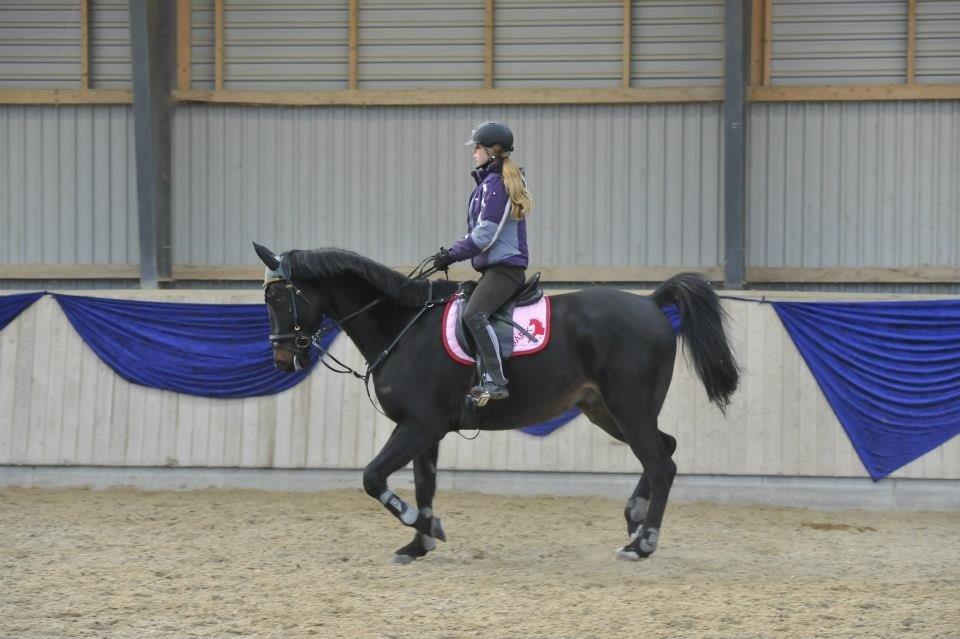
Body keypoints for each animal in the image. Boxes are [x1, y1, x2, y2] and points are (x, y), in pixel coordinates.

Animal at [253, 245, 736, 564]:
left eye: (276, 297)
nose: (282, 359)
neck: (405, 326)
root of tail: (651, 304)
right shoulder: (425, 430)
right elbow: (424, 485)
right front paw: (420, 540)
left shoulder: (418, 426)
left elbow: (373, 478)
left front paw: (424, 528)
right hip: (605, 411)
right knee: (664, 448)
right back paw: (634, 518)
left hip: (628, 407)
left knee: (661, 462)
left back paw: (643, 542)